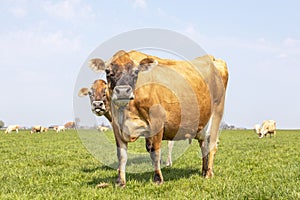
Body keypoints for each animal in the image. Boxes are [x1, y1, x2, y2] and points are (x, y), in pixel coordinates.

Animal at [86, 50, 227, 188]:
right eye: (108, 71)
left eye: (136, 71)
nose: (123, 91)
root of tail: (211, 58)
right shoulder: (117, 126)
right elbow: (122, 155)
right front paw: (120, 182)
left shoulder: (157, 122)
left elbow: (154, 151)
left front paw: (158, 179)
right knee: (203, 144)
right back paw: (203, 170)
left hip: (218, 110)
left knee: (212, 143)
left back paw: (209, 173)